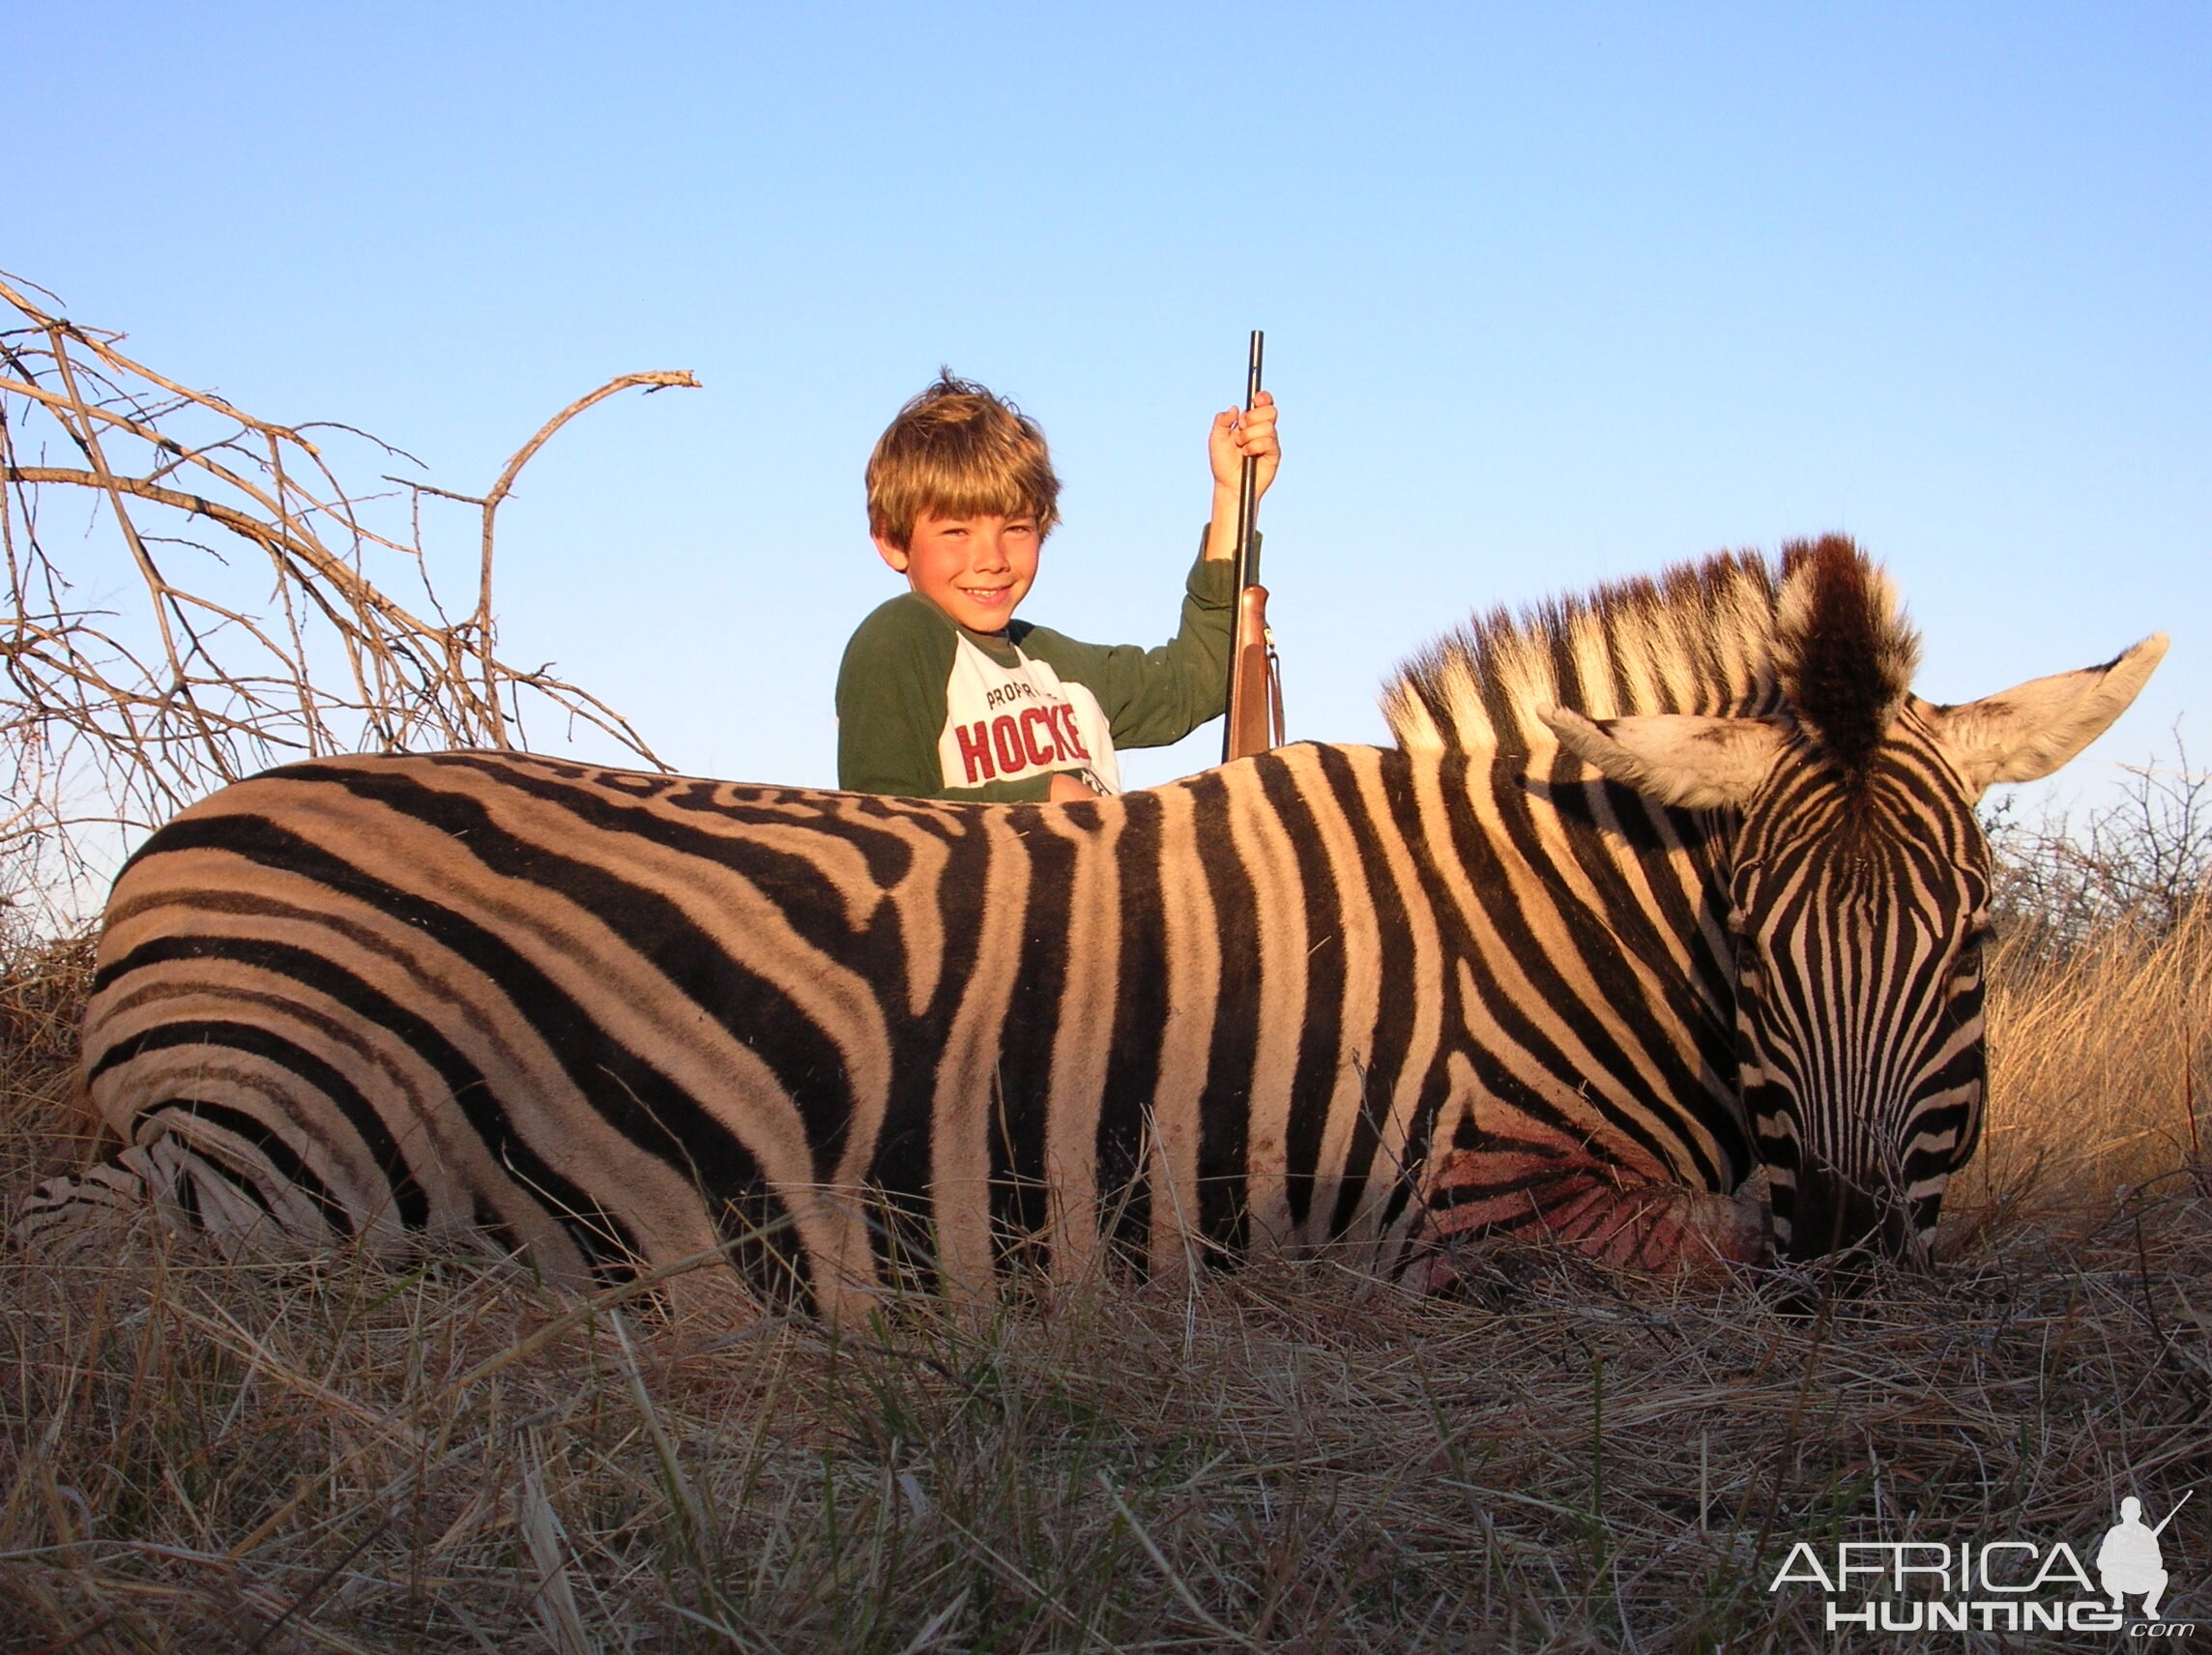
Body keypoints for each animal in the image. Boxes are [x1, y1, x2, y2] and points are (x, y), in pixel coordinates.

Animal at [16, 537, 2159, 1309]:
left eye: (1971, 943)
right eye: (1753, 946)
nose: (1857, 1255)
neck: (1536, 939)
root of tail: (173, 845)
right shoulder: (1456, 1203)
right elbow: (1700, 1244)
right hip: (309, 1167)